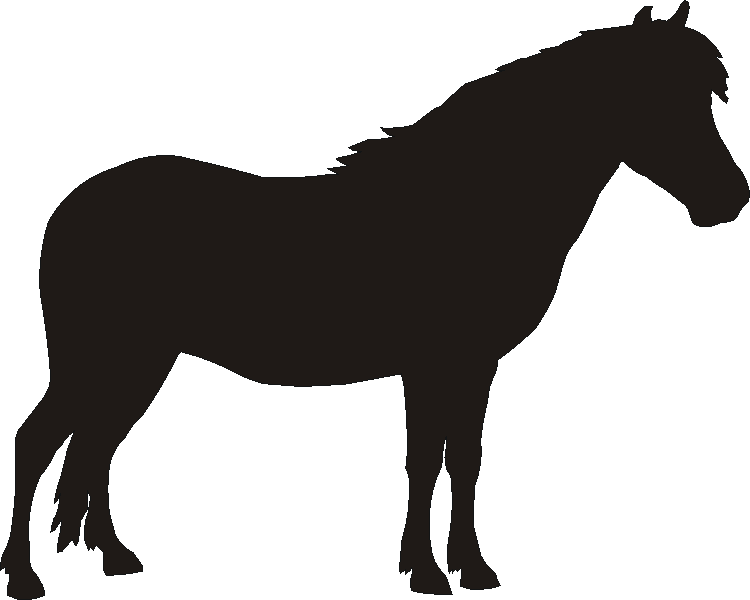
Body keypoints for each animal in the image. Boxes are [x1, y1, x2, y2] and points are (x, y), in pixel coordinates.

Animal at [2, 2, 747, 597]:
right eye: (658, 97)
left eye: (706, 96)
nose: (730, 199)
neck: (469, 201)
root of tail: (72, 206)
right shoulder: (430, 363)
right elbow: (424, 461)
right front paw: (427, 571)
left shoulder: (475, 365)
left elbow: (465, 460)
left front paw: (471, 567)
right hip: (101, 361)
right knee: (40, 440)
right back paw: (26, 576)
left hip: (141, 364)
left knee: (97, 445)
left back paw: (116, 558)